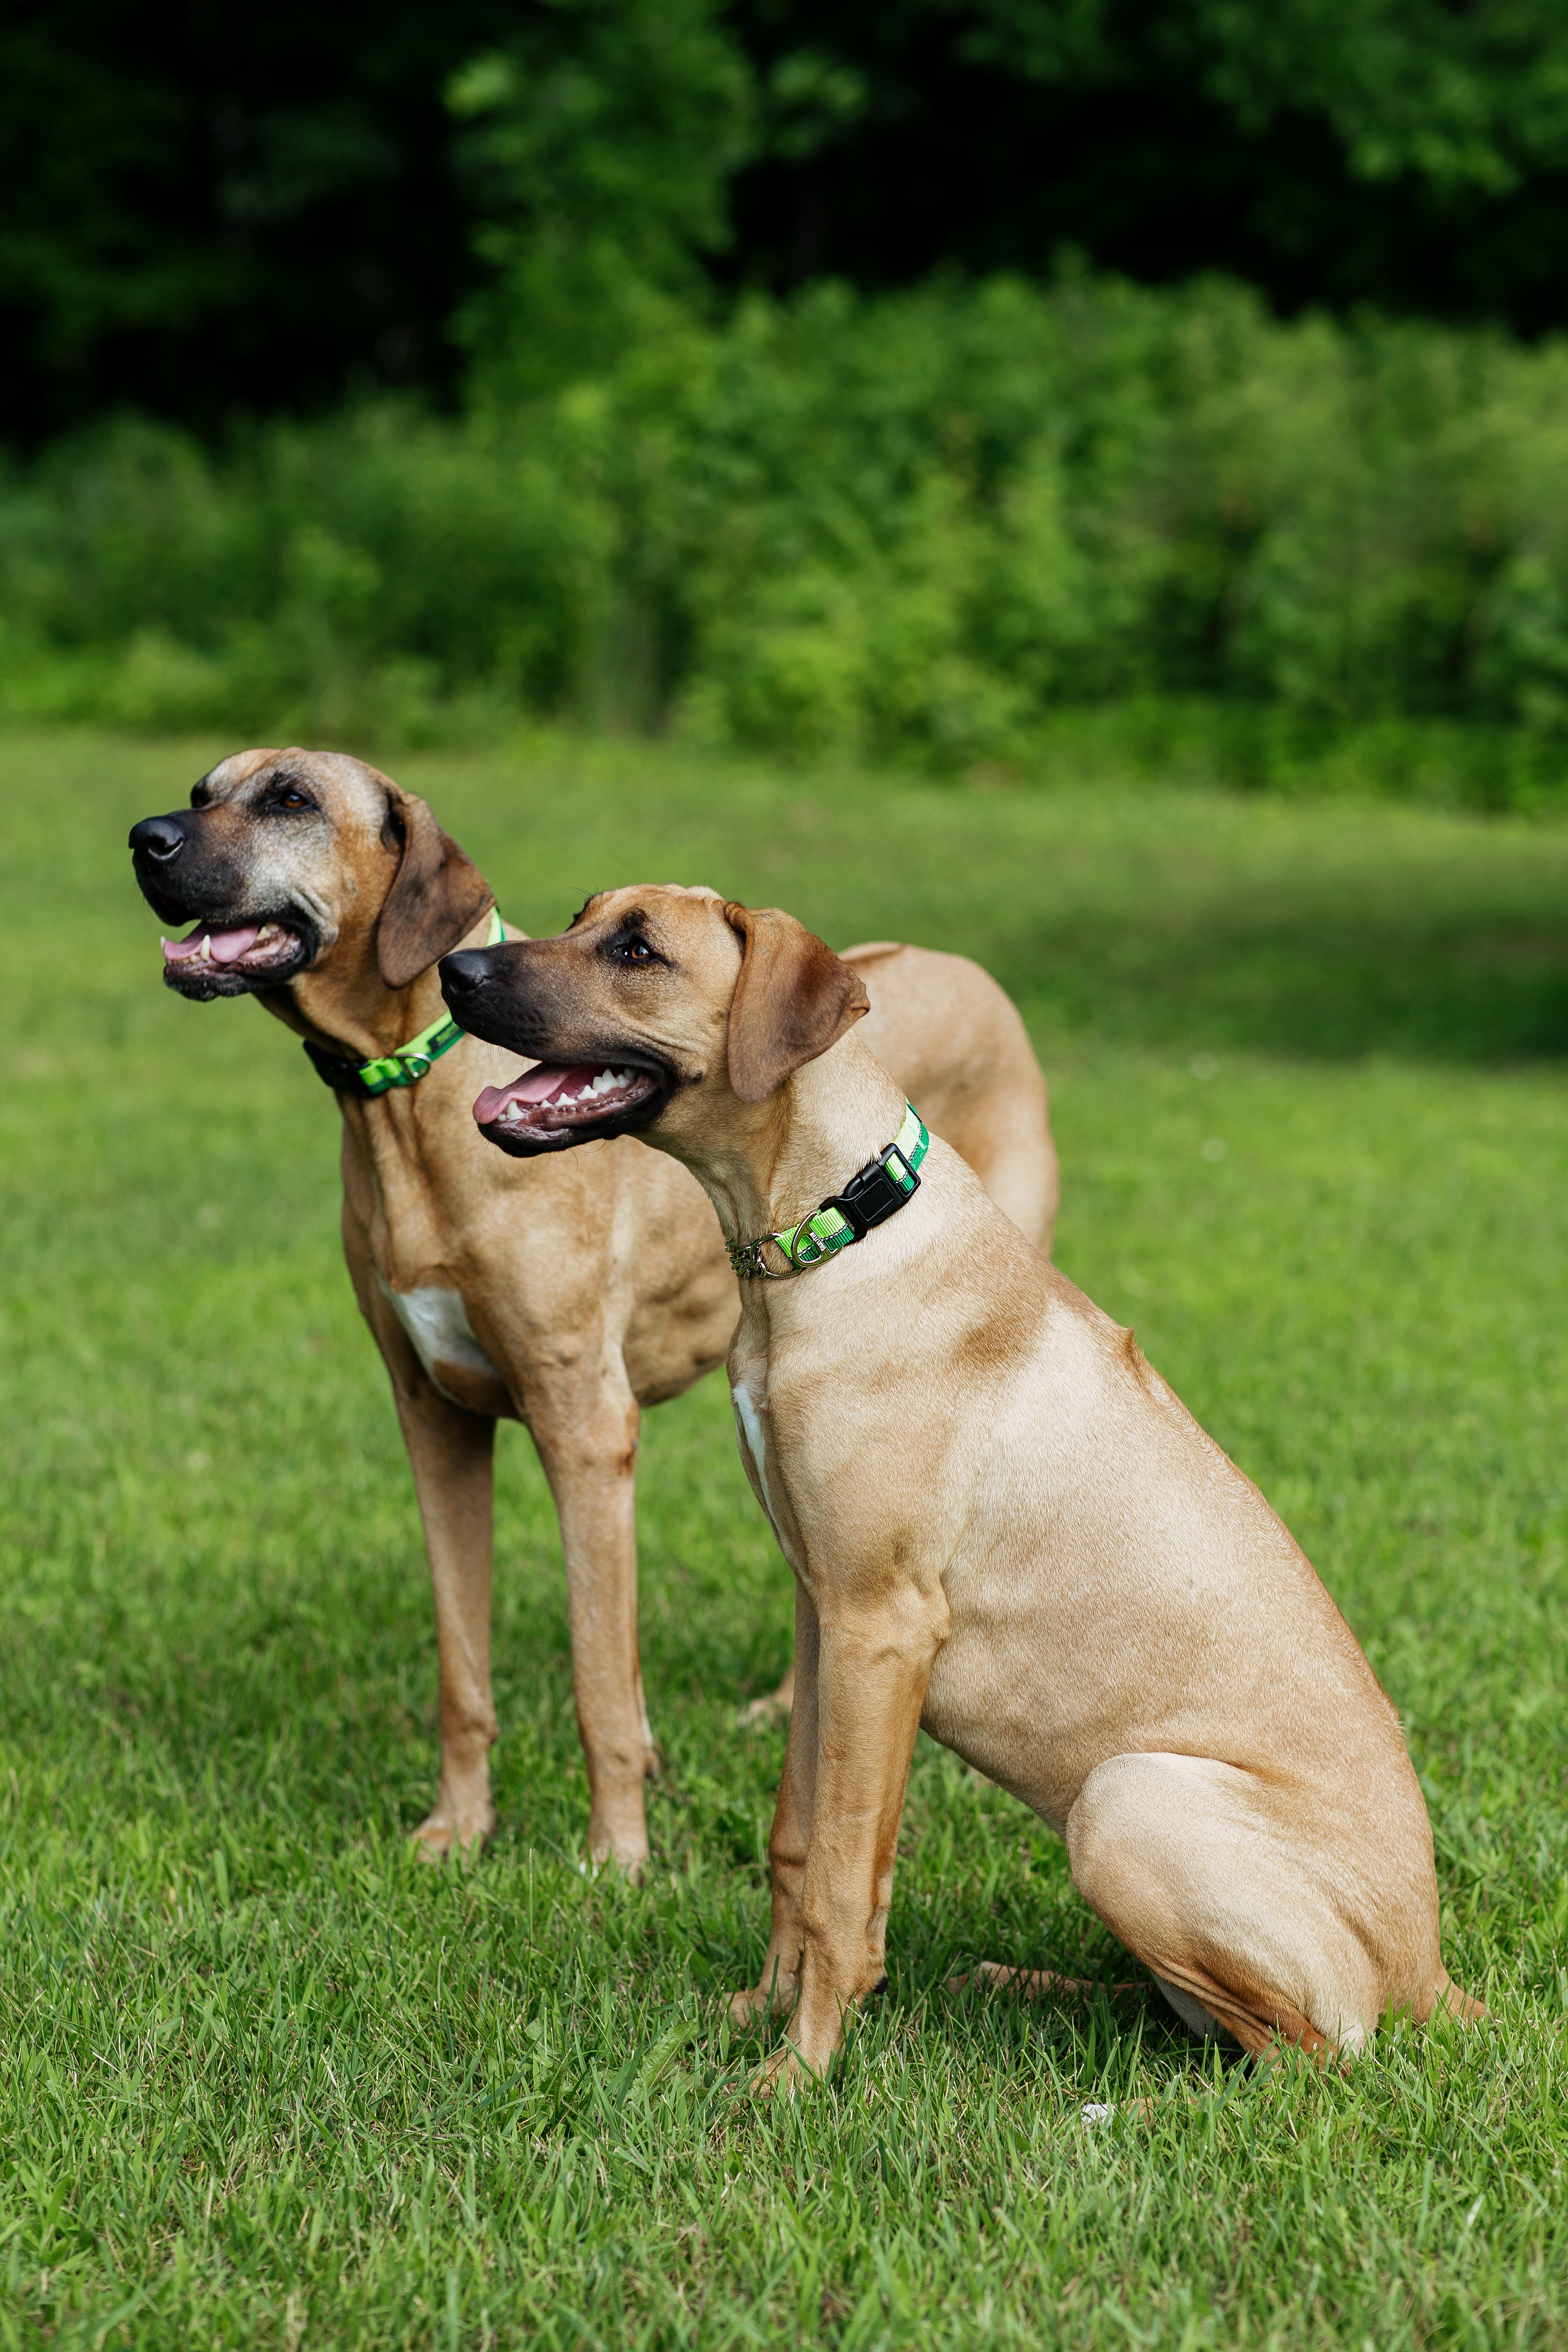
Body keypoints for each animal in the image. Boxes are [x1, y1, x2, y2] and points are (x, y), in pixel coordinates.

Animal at [129, 753, 1063, 1872]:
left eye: (290, 800)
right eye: (202, 789)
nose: (145, 838)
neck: (409, 1103)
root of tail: (963, 966)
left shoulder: (585, 1428)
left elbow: (601, 1685)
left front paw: (618, 1857)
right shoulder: (432, 1419)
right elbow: (462, 1669)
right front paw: (459, 1829)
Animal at [442, 884, 1485, 2079]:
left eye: (637, 949)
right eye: (584, 916)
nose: (455, 973)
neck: (836, 1228)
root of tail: (1433, 1973)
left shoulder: (881, 1623)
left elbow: (842, 1882)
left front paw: (796, 2073)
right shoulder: (825, 1609)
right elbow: (798, 1841)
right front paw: (759, 2011)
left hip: (1126, 1801)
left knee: (1302, 2058)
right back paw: (1020, 1983)